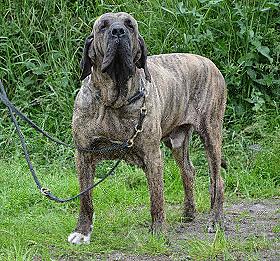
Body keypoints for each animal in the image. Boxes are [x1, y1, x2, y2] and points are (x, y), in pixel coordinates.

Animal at [68, 12, 228, 244]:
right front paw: (82, 231)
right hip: (177, 141)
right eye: (103, 26)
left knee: (217, 181)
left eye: (130, 25)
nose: (118, 31)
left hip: (211, 133)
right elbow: (85, 198)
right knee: (188, 171)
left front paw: (158, 231)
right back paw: (188, 213)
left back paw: (215, 220)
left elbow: (156, 197)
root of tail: (209, 62)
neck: (113, 101)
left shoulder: (152, 154)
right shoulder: (84, 154)